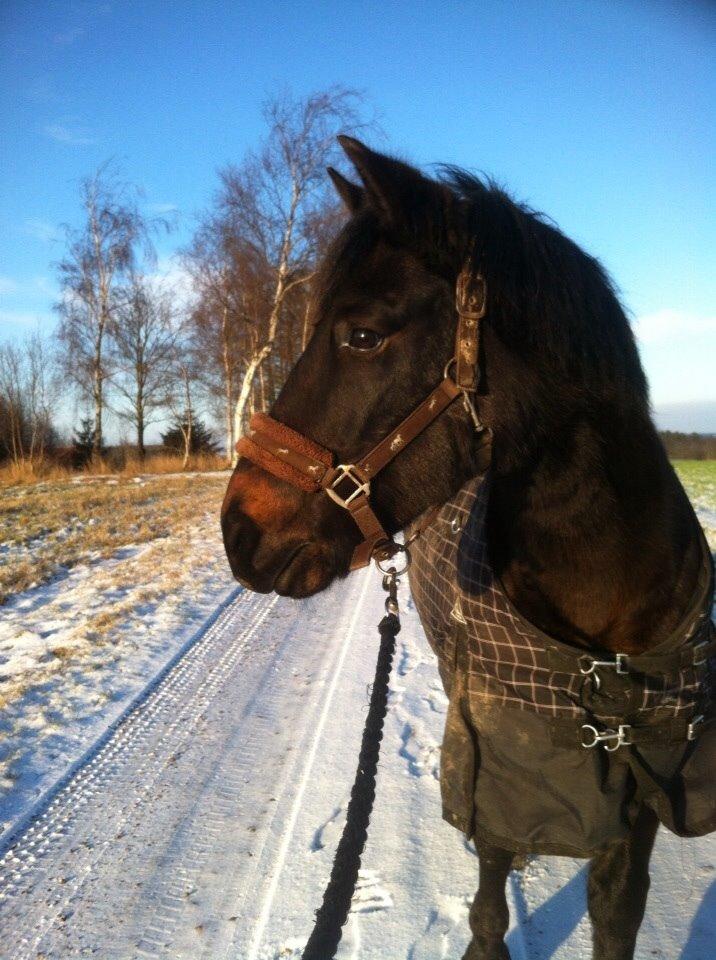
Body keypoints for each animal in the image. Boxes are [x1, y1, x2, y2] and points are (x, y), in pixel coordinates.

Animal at [221, 137, 712, 960]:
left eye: (362, 334)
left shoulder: (648, 791)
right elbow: (491, 890)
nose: (238, 532)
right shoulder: (494, 765)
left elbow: (616, 911)